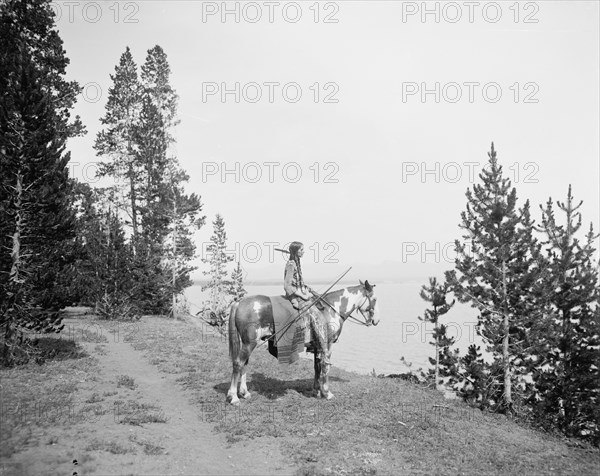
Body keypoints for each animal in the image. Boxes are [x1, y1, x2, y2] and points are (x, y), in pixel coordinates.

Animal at [225, 278, 380, 406]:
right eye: (375, 299)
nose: (376, 320)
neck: (330, 309)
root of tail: (239, 302)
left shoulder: (317, 346)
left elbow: (317, 367)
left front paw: (317, 391)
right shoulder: (327, 345)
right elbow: (325, 366)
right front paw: (327, 393)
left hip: (248, 344)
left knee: (244, 364)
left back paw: (244, 392)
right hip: (249, 343)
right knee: (238, 363)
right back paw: (234, 397)